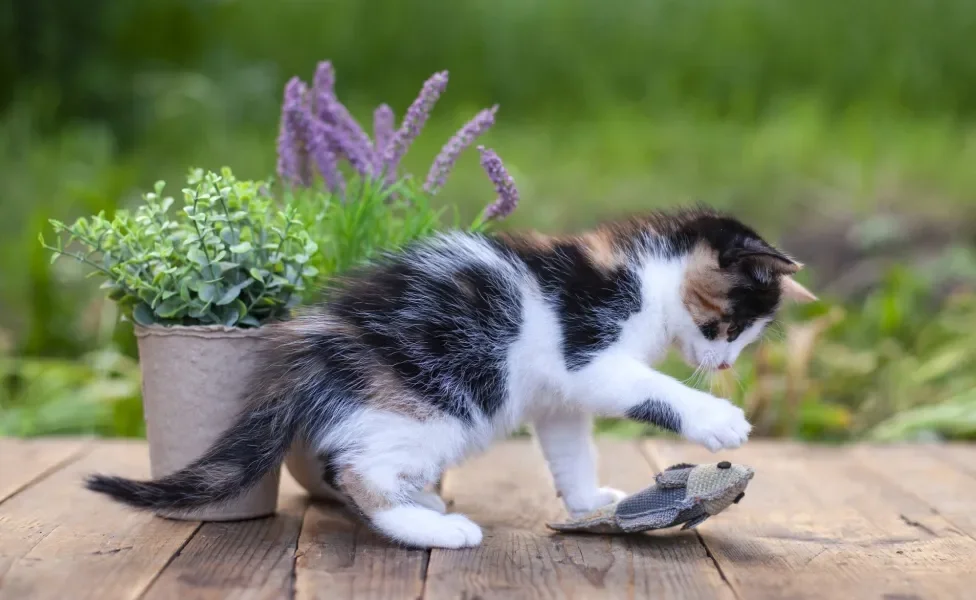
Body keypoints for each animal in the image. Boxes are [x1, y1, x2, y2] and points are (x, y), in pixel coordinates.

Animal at [84, 206, 816, 548]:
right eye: (729, 326)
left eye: (747, 339)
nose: (725, 365)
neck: (647, 277)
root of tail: (314, 343)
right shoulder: (589, 348)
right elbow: (650, 388)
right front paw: (718, 421)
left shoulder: (560, 396)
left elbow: (570, 445)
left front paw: (587, 501)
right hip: (440, 401)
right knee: (356, 470)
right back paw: (431, 527)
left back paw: (425, 504)